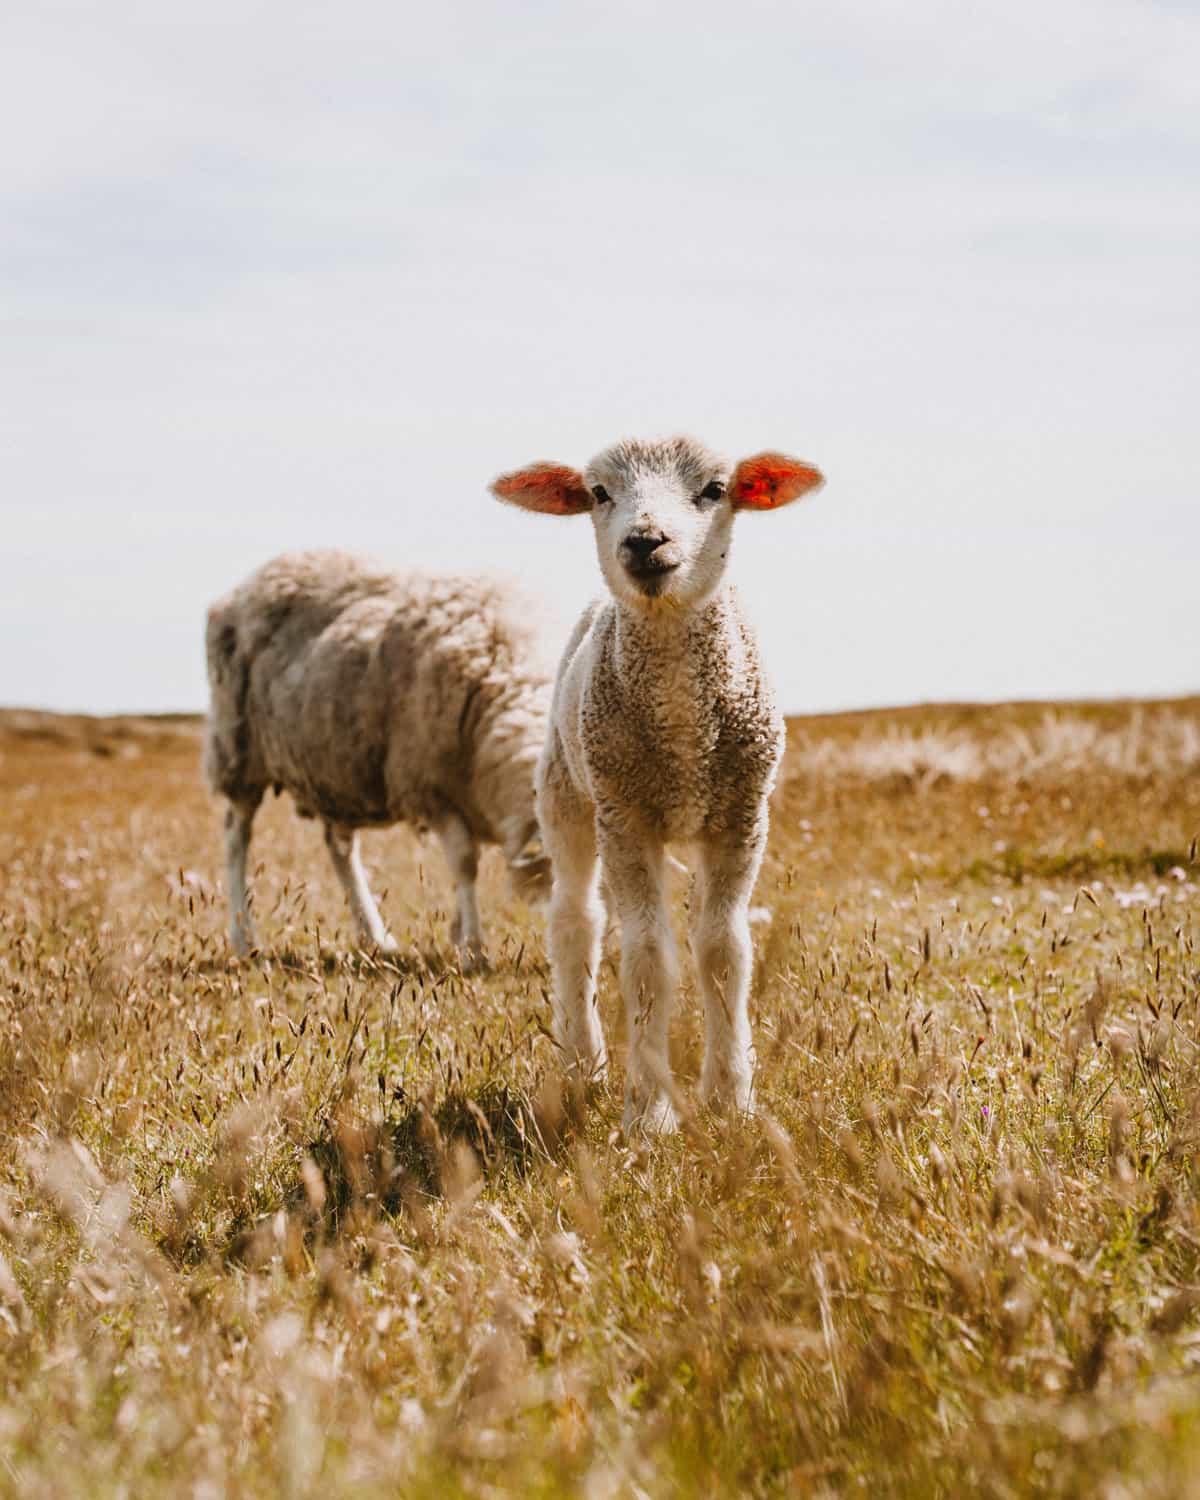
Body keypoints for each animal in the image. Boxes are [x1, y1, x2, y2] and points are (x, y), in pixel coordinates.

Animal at [201, 549, 549, 960]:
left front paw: (458, 933)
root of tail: (248, 583)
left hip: (332, 766)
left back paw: (374, 936)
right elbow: (466, 864)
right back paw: (244, 937)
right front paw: (474, 949)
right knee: (236, 837)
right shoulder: (428, 787)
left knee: (340, 851)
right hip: (238, 751)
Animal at [489, 438, 828, 1128]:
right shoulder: (626, 816)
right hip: (567, 793)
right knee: (575, 923)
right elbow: (648, 958)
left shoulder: (741, 816)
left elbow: (724, 952)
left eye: (716, 489)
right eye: (598, 493)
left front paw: (731, 1096)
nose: (646, 540)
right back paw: (583, 1063)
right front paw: (649, 1111)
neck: (680, 730)